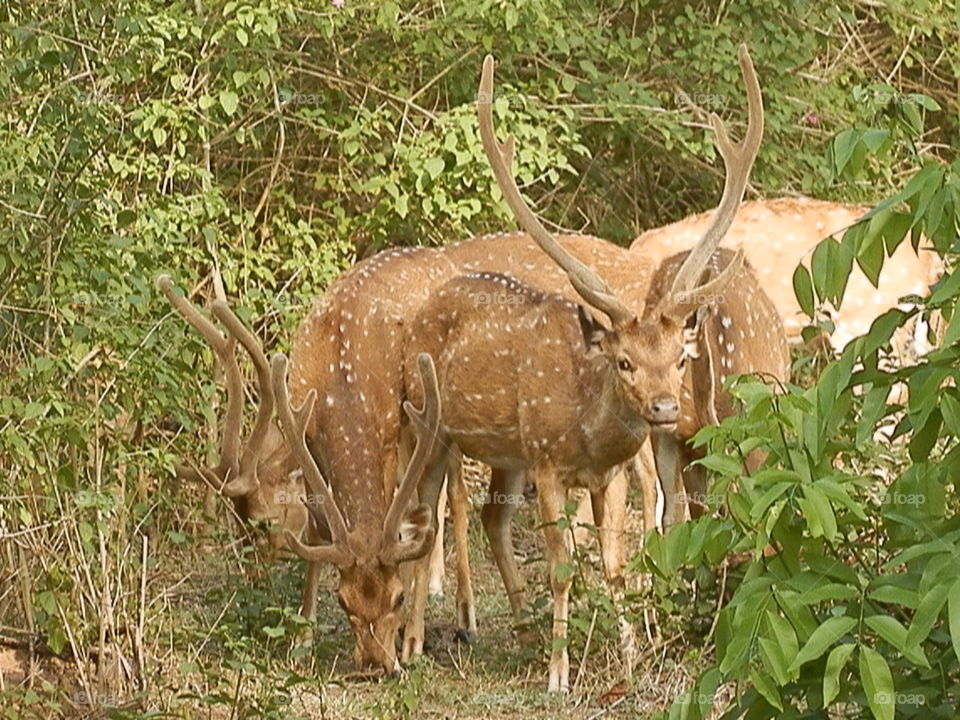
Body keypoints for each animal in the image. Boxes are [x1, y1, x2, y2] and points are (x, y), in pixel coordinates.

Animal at [400, 46, 762, 691]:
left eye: (678, 358)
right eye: (623, 360)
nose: (665, 408)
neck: (587, 433)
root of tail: (425, 307)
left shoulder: (609, 475)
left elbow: (613, 564)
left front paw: (635, 658)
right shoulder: (548, 464)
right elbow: (563, 567)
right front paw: (558, 673)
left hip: (502, 451)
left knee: (485, 517)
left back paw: (512, 634)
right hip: (432, 425)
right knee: (429, 517)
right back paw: (415, 643)